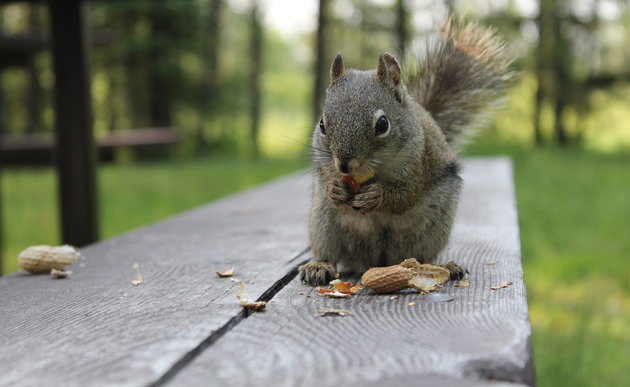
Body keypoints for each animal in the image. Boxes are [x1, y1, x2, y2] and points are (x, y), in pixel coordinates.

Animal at [302, 17, 520, 288]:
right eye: (322, 124)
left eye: (382, 124)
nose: (344, 165)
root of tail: (374, 261)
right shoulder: (325, 165)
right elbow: (326, 177)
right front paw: (335, 188)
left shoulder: (420, 163)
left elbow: (405, 194)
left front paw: (376, 196)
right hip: (323, 223)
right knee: (329, 252)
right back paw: (319, 266)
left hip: (432, 229)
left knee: (422, 255)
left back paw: (444, 267)